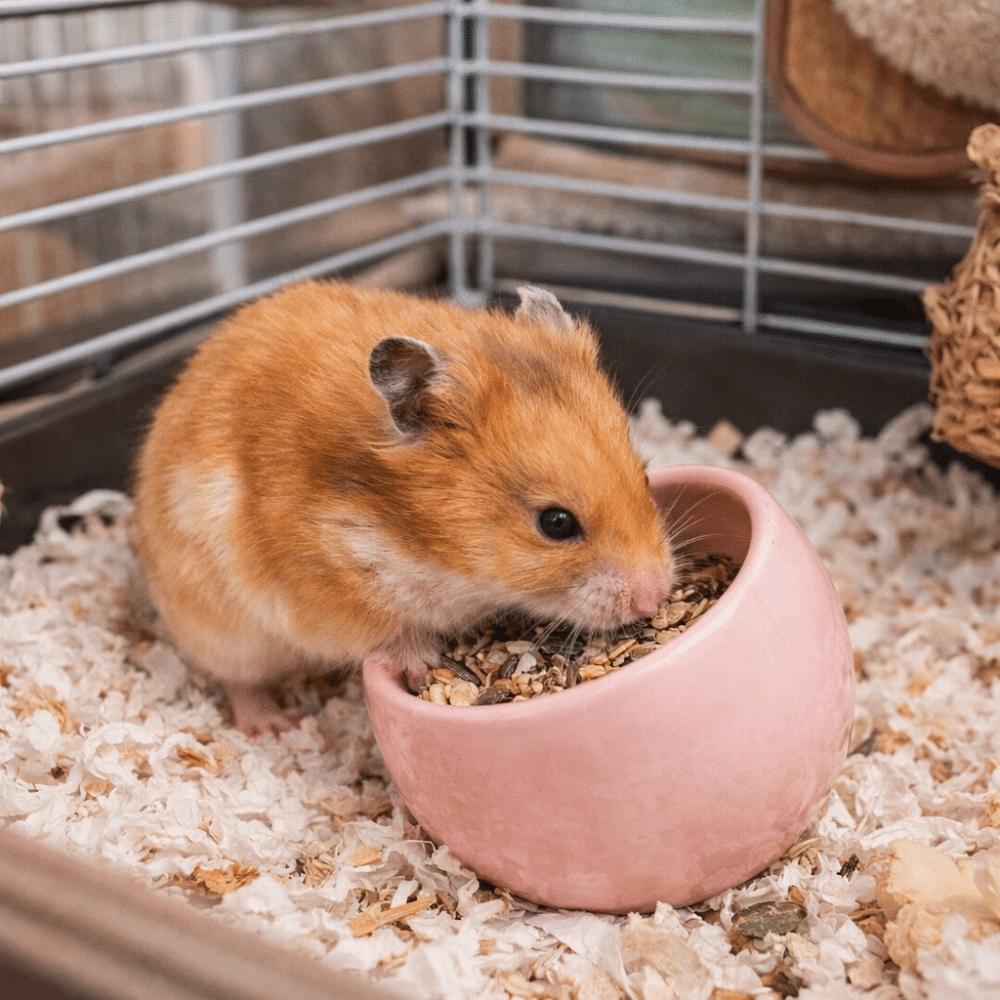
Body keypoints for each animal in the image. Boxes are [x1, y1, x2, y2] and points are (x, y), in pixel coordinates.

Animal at [133, 281, 673, 734]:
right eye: (556, 522)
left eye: (644, 474)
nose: (654, 599)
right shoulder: (328, 595)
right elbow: (385, 635)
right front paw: (423, 663)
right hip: (223, 634)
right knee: (239, 682)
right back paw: (273, 725)